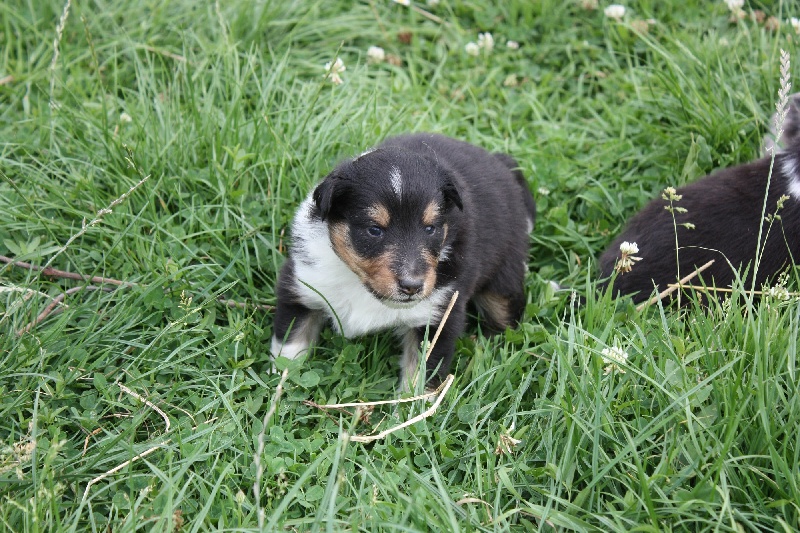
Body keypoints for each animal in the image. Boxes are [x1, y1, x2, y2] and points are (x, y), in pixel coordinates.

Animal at [270, 131, 536, 384]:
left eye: (430, 229)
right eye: (374, 230)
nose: (412, 286)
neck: (361, 286)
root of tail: (499, 162)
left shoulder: (438, 316)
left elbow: (421, 377)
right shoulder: (302, 285)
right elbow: (289, 344)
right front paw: (279, 386)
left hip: (503, 282)